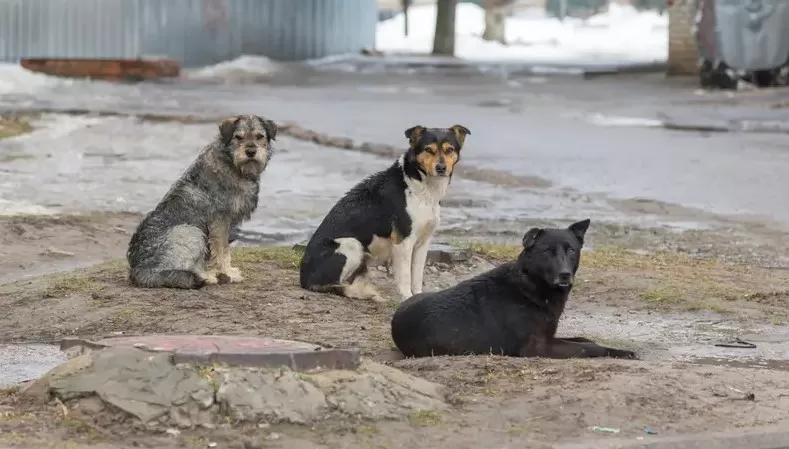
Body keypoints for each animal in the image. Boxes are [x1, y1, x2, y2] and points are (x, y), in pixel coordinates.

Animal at [126, 114, 278, 288]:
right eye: (238, 137)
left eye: (260, 136)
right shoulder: (220, 222)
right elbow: (222, 251)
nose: (251, 152)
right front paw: (227, 273)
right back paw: (208, 277)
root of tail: (139, 270)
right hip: (191, 231)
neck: (232, 164)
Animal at [298, 124, 468, 302]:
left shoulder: (423, 242)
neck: (419, 184)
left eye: (449, 150)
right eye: (428, 149)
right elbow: (405, 276)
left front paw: (418, 296)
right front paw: (407, 297)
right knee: (333, 285)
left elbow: (417, 275)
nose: (441, 168)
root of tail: (304, 278)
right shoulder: (403, 242)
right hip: (351, 244)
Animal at [390, 219, 636, 358]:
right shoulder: (539, 348)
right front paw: (620, 353)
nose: (565, 274)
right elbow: (590, 348)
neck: (529, 286)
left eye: (571, 250)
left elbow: (585, 340)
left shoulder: (550, 336)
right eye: (548, 251)